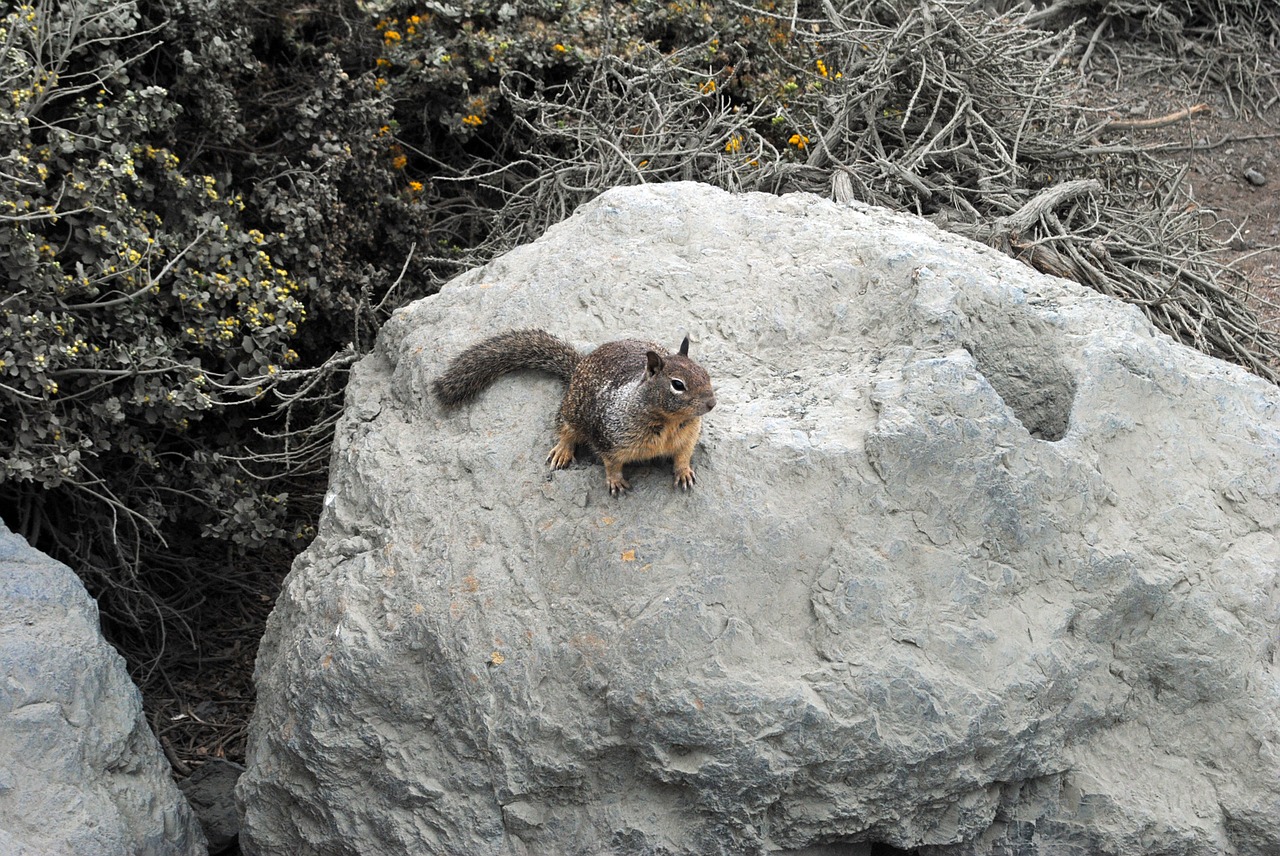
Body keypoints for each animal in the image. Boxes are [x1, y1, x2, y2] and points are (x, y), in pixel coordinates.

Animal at [432, 330, 716, 496]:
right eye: (677, 385)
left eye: (705, 373)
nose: (712, 403)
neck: (669, 423)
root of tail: (580, 363)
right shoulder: (608, 437)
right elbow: (611, 463)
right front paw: (616, 481)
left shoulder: (688, 436)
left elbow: (683, 455)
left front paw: (684, 472)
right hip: (570, 411)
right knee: (565, 430)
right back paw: (562, 451)